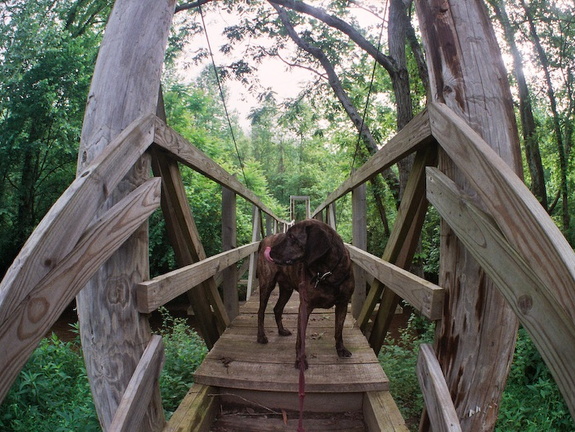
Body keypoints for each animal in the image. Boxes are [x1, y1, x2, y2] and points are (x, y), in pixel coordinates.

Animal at [258, 219, 356, 368]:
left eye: (292, 237)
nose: (270, 251)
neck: (326, 274)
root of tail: (264, 240)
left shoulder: (343, 304)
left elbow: (338, 331)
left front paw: (341, 349)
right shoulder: (305, 307)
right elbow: (301, 338)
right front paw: (300, 360)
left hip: (286, 289)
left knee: (277, 309)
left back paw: (281, 330)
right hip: (267, 284)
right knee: (261, 311)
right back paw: (261, 336)